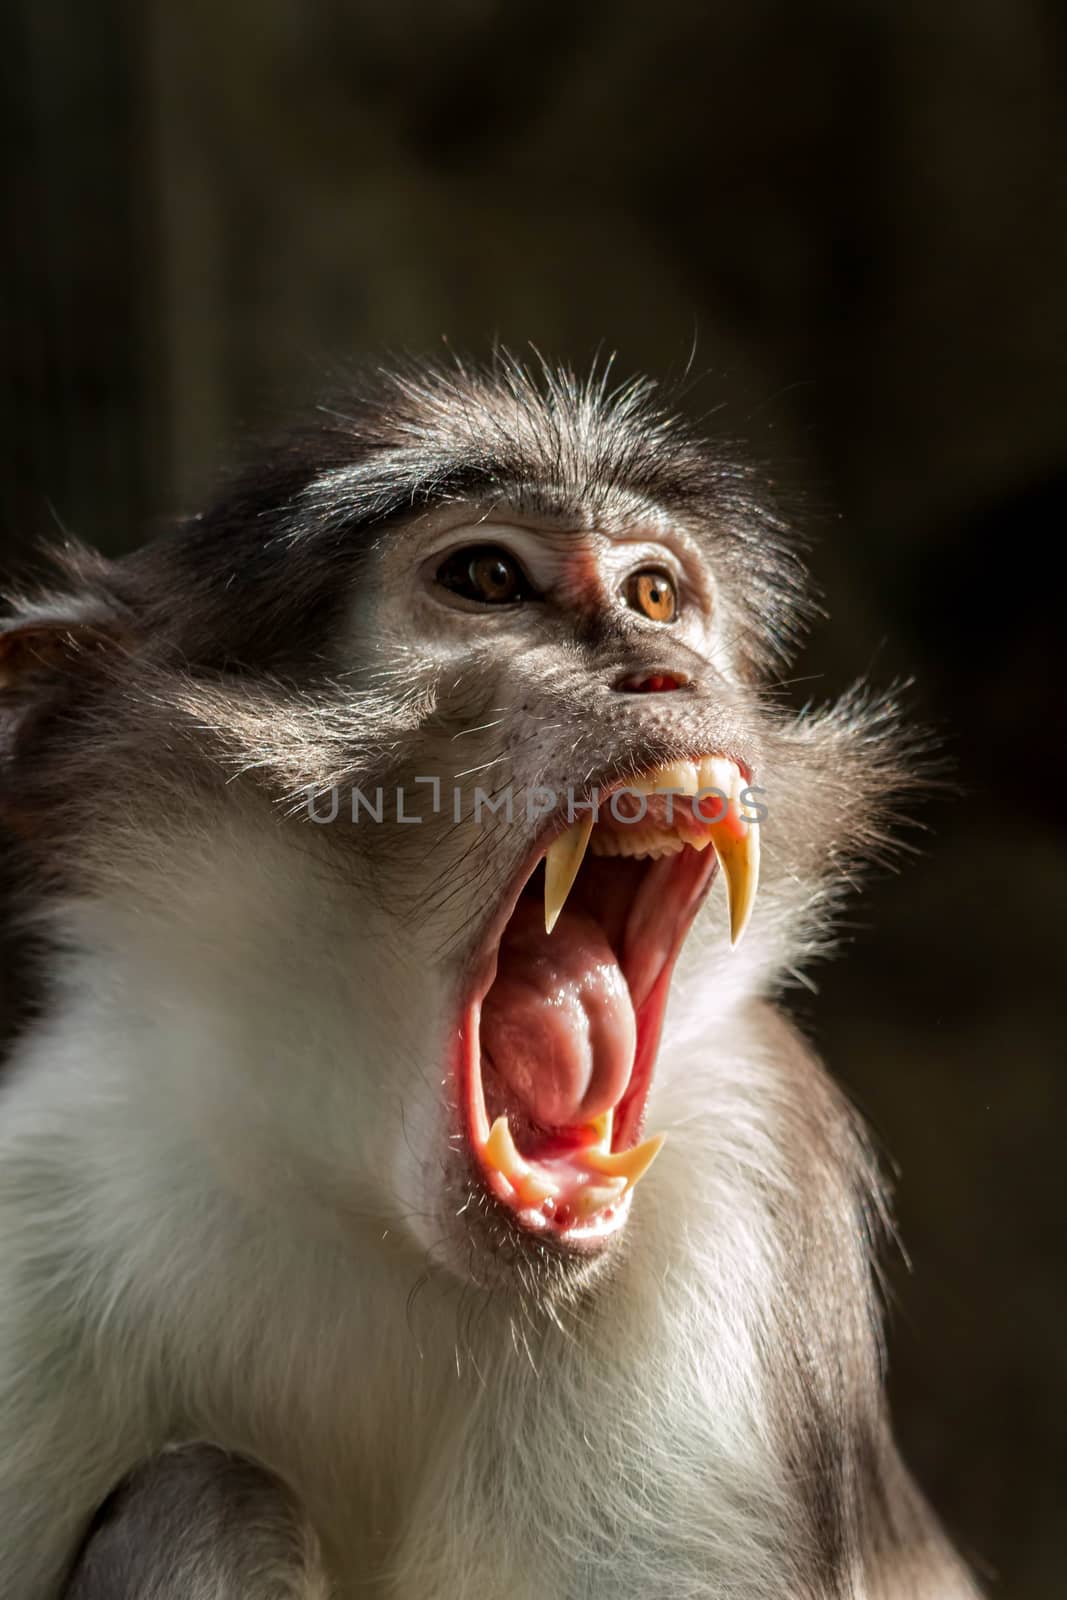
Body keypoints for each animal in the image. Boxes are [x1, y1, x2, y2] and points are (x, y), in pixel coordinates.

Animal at [0, 363, 985, 1600]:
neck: (359, 1205)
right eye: (487, 578)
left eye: (656, 593)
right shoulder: (42, 1192)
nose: (667, 667)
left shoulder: (741, 1189)